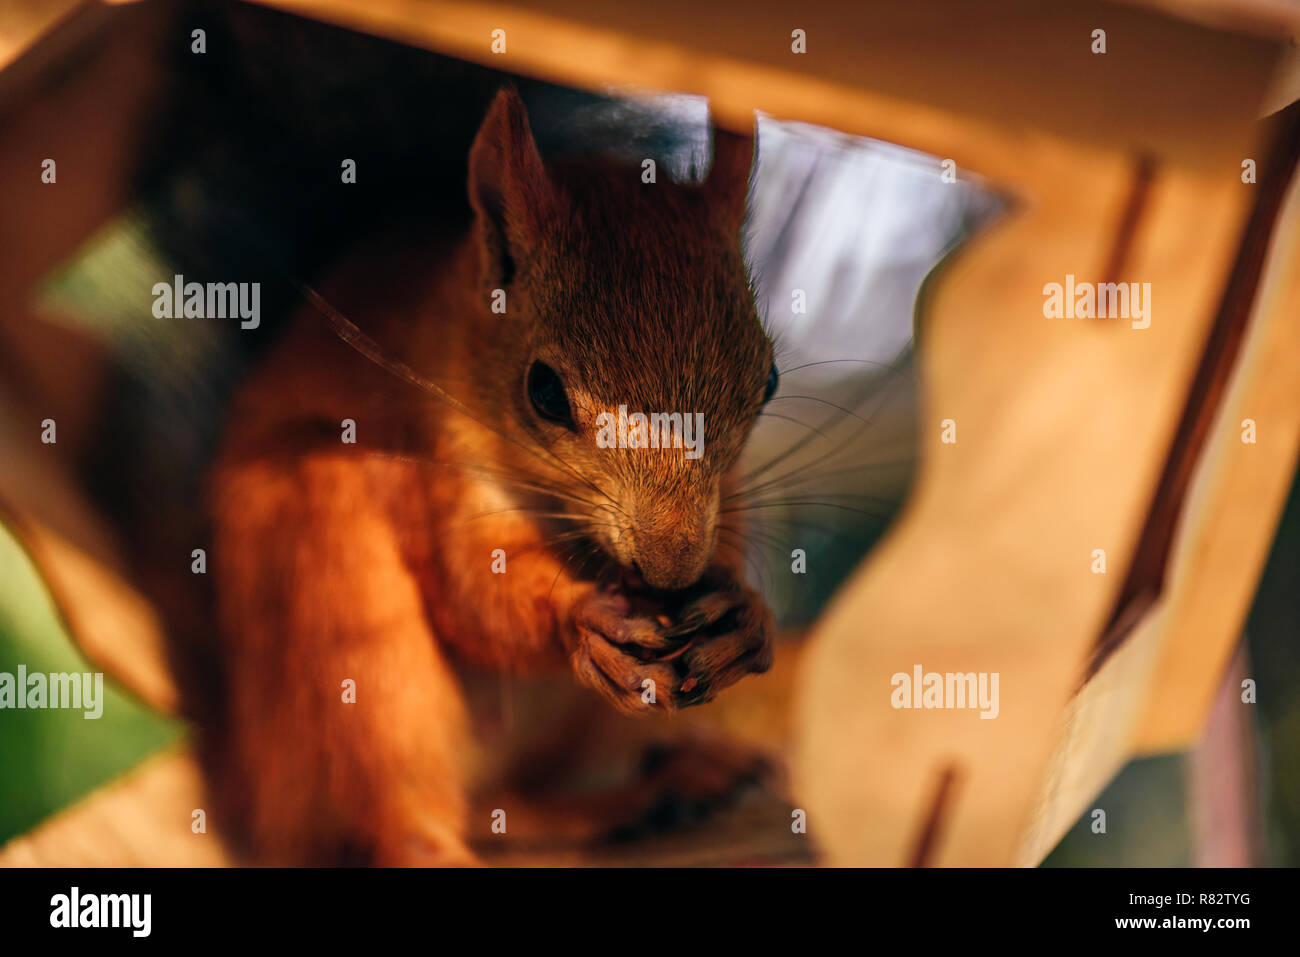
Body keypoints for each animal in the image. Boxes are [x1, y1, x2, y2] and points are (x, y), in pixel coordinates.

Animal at [205, 88, 779, 866]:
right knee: (401, 809)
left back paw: (653, 793)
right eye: (545, 393)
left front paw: (744, 617)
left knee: (497, 806)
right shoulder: (431, 463)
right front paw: (581, 616)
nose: (669, 569)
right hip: (339, 604)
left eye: (769, 379)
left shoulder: (731, 497)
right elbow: (471, 592)